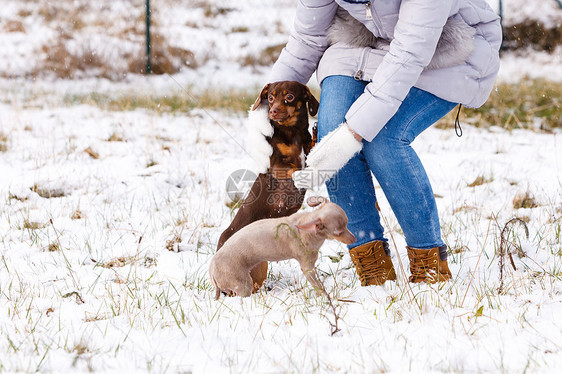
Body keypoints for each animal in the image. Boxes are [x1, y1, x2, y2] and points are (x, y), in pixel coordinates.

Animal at [210, 197, 354, 300]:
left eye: (347, 224)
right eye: (339, 232)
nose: (354, 239)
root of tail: (211, 270)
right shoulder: (307, 267)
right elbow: (317, 284)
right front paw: (325, 298)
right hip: (241, 283)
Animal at [215, 80, 318, 294]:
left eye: (289, 97)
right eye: (270, 98)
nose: (273, 111)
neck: (293, 132)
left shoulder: (308, 148)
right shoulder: (277, 165)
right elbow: (293, 167)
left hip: (259, 266)